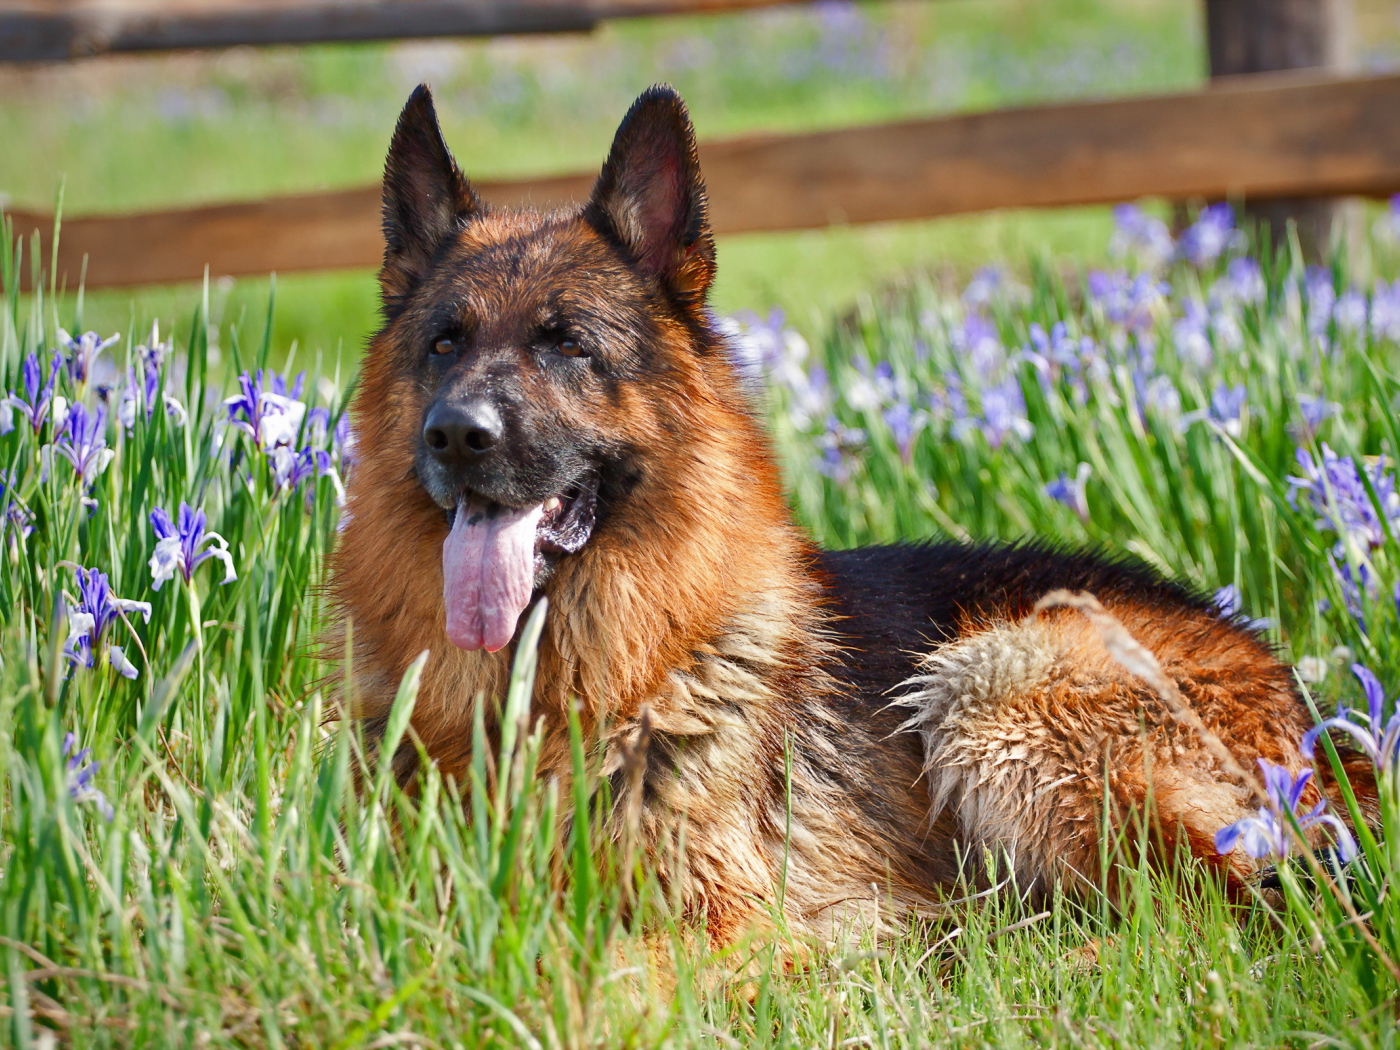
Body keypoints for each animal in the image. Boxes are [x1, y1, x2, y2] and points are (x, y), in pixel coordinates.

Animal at [330, 86, 1377, 952]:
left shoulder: (721, 923)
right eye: (445, 343)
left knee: (1234, 908)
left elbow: (601, 974)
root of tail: (1317, 723)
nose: (456, 434)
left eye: (568, 346)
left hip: (989, 685)